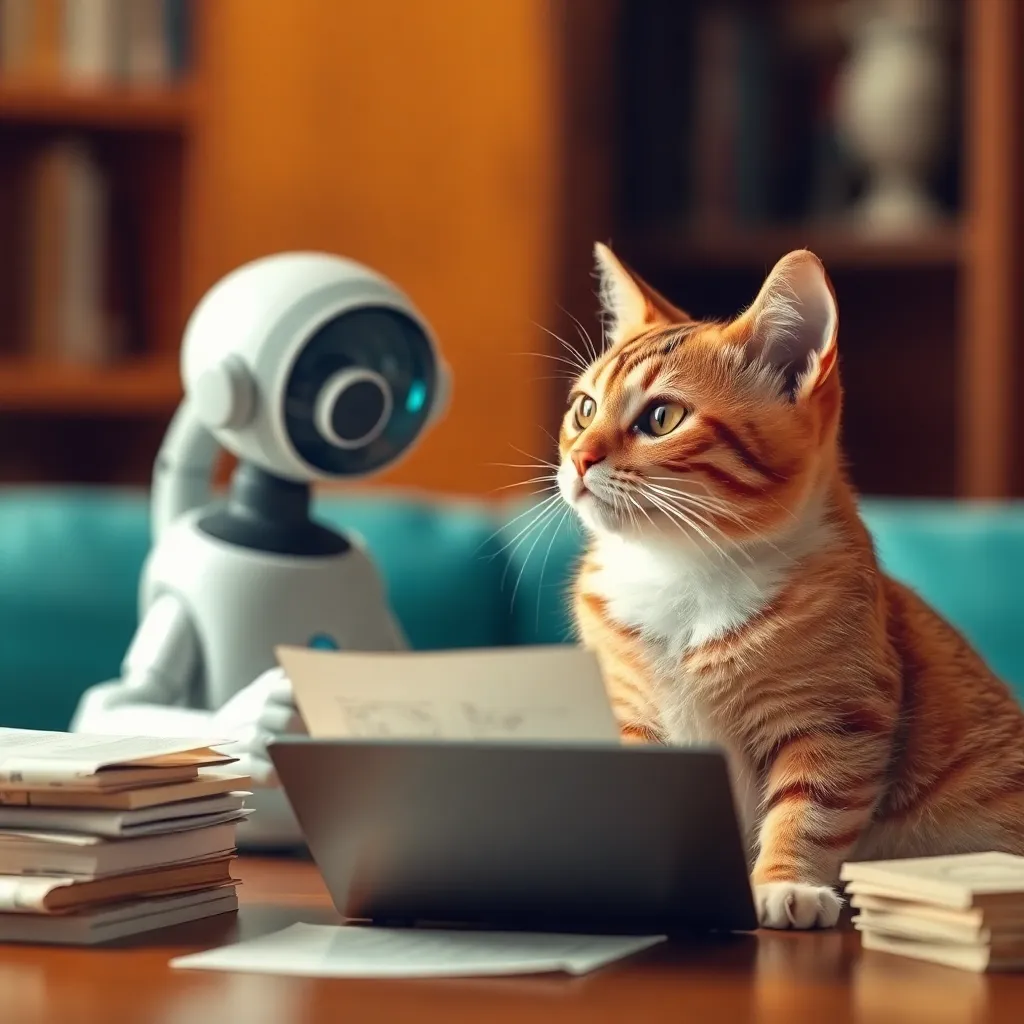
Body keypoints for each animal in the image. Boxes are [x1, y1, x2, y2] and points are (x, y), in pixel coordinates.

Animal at [561, 245, 1024, 929]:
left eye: (662, 417)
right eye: (585, 408)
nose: (578, 459)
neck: (684, 572)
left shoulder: (838, 717)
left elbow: (810, 809)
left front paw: (786, 883)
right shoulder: (632, 714)